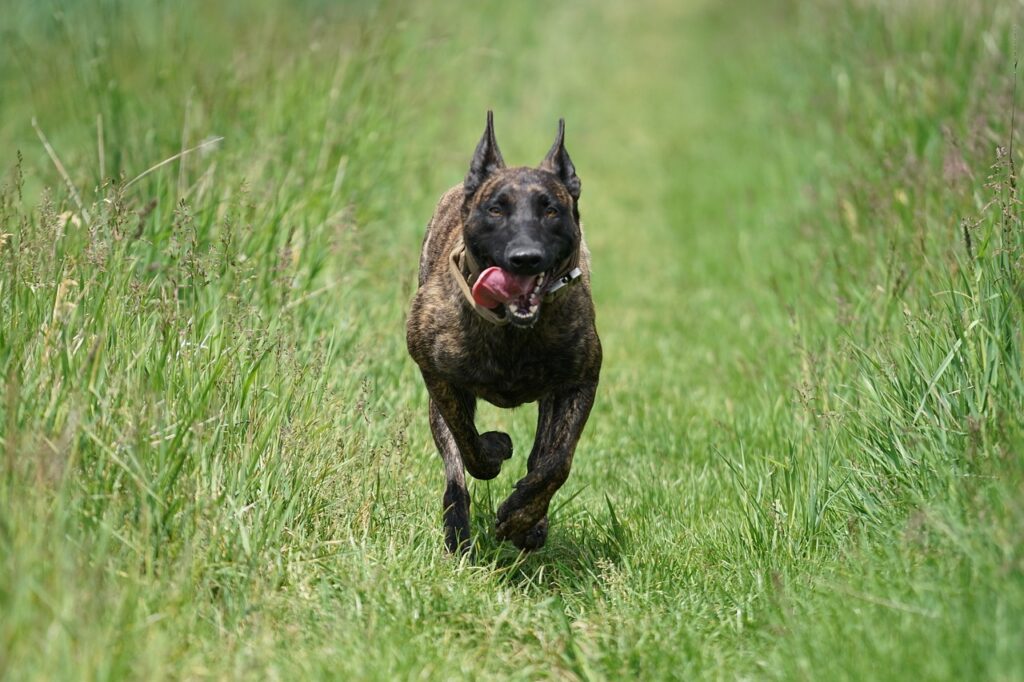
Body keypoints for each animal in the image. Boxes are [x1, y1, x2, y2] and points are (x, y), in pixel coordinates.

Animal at [405, 109, 598, 548]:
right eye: (496, 209)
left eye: (551, 210)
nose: (525, 257)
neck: (512, 328)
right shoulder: (437, 374)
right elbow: (467, 446)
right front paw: (494, 448)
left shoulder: (580, 380)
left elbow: (556, 461)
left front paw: (520, 516)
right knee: (455, 468)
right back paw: (457, 530)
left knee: (542, 452)